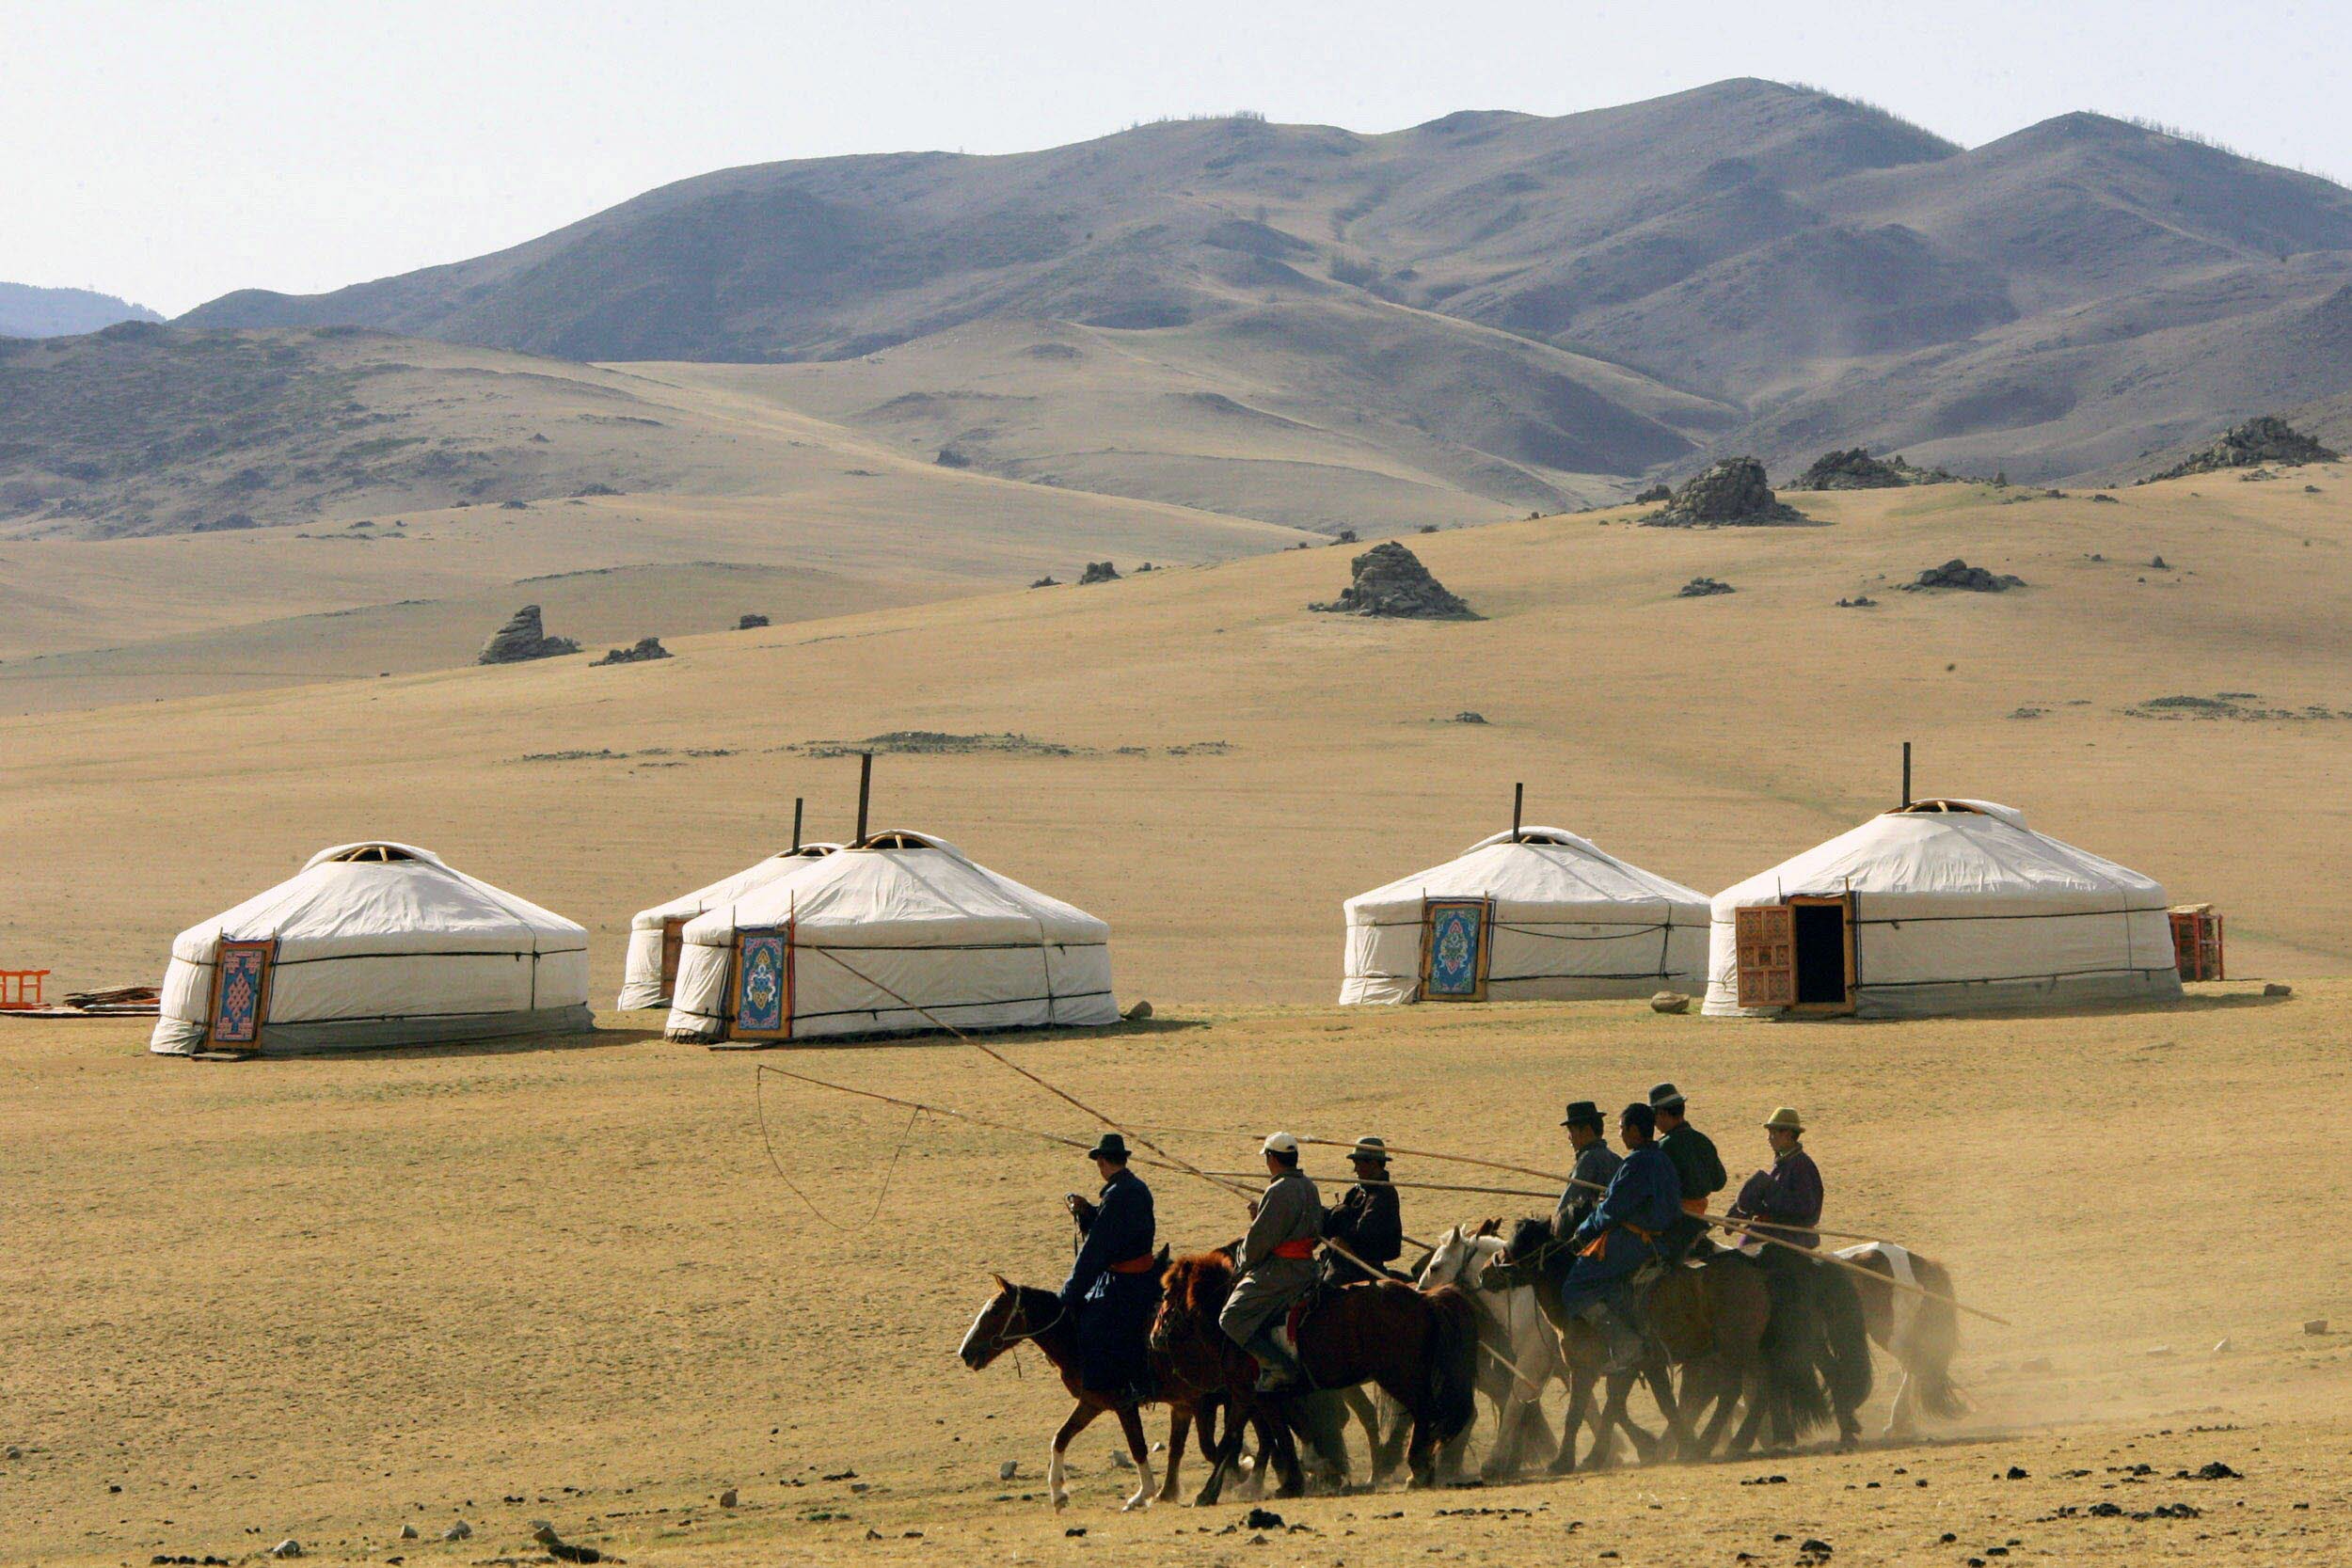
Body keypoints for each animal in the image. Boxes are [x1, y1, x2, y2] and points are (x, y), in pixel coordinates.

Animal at [1152, 1250, 1477, 1495]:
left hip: (1398, 1375)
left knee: (1424, 1412)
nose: (1155, 1336)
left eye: (1166, 1295)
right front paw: (1308, 1474)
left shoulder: (1250, 1395)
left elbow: (1246, 1440)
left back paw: (1418, 1470)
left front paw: (1209, 1493)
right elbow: (1280, 1434)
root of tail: (1423, 1299)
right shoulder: (1255, 1397)